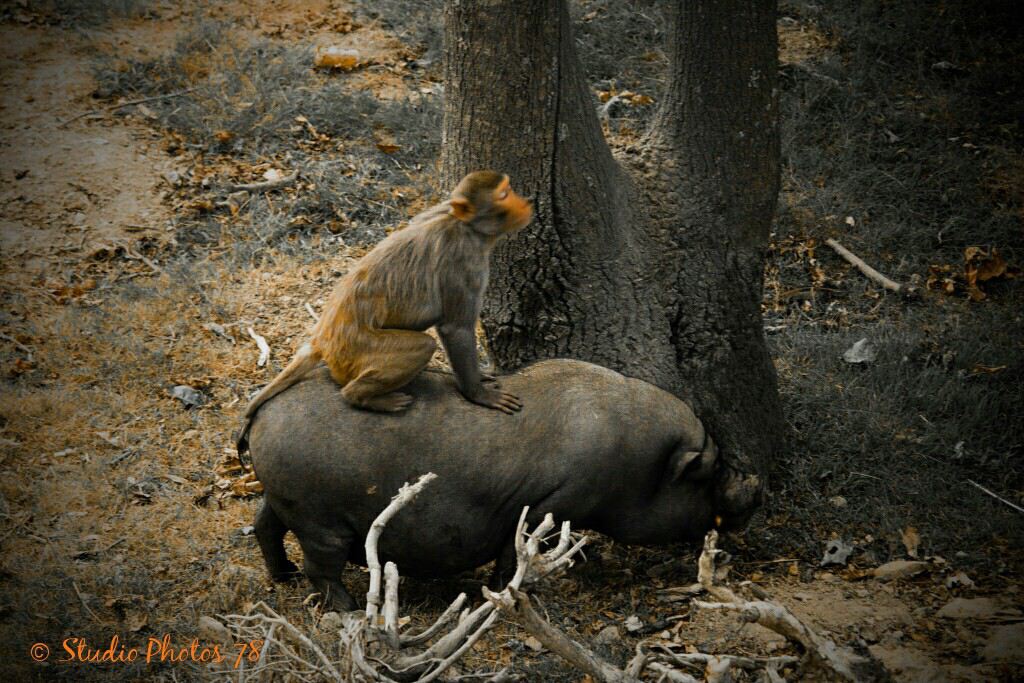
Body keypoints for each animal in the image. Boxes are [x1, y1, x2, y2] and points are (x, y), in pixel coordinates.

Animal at [236, 172, 532, 444]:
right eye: (504, 194)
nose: (526, 202)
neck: (465, 226)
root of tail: (322, 338)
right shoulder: (464, 261)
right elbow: (455, 328)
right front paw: (478, 393)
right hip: (354, 351)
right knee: (423, 345)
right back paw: (360, 396)